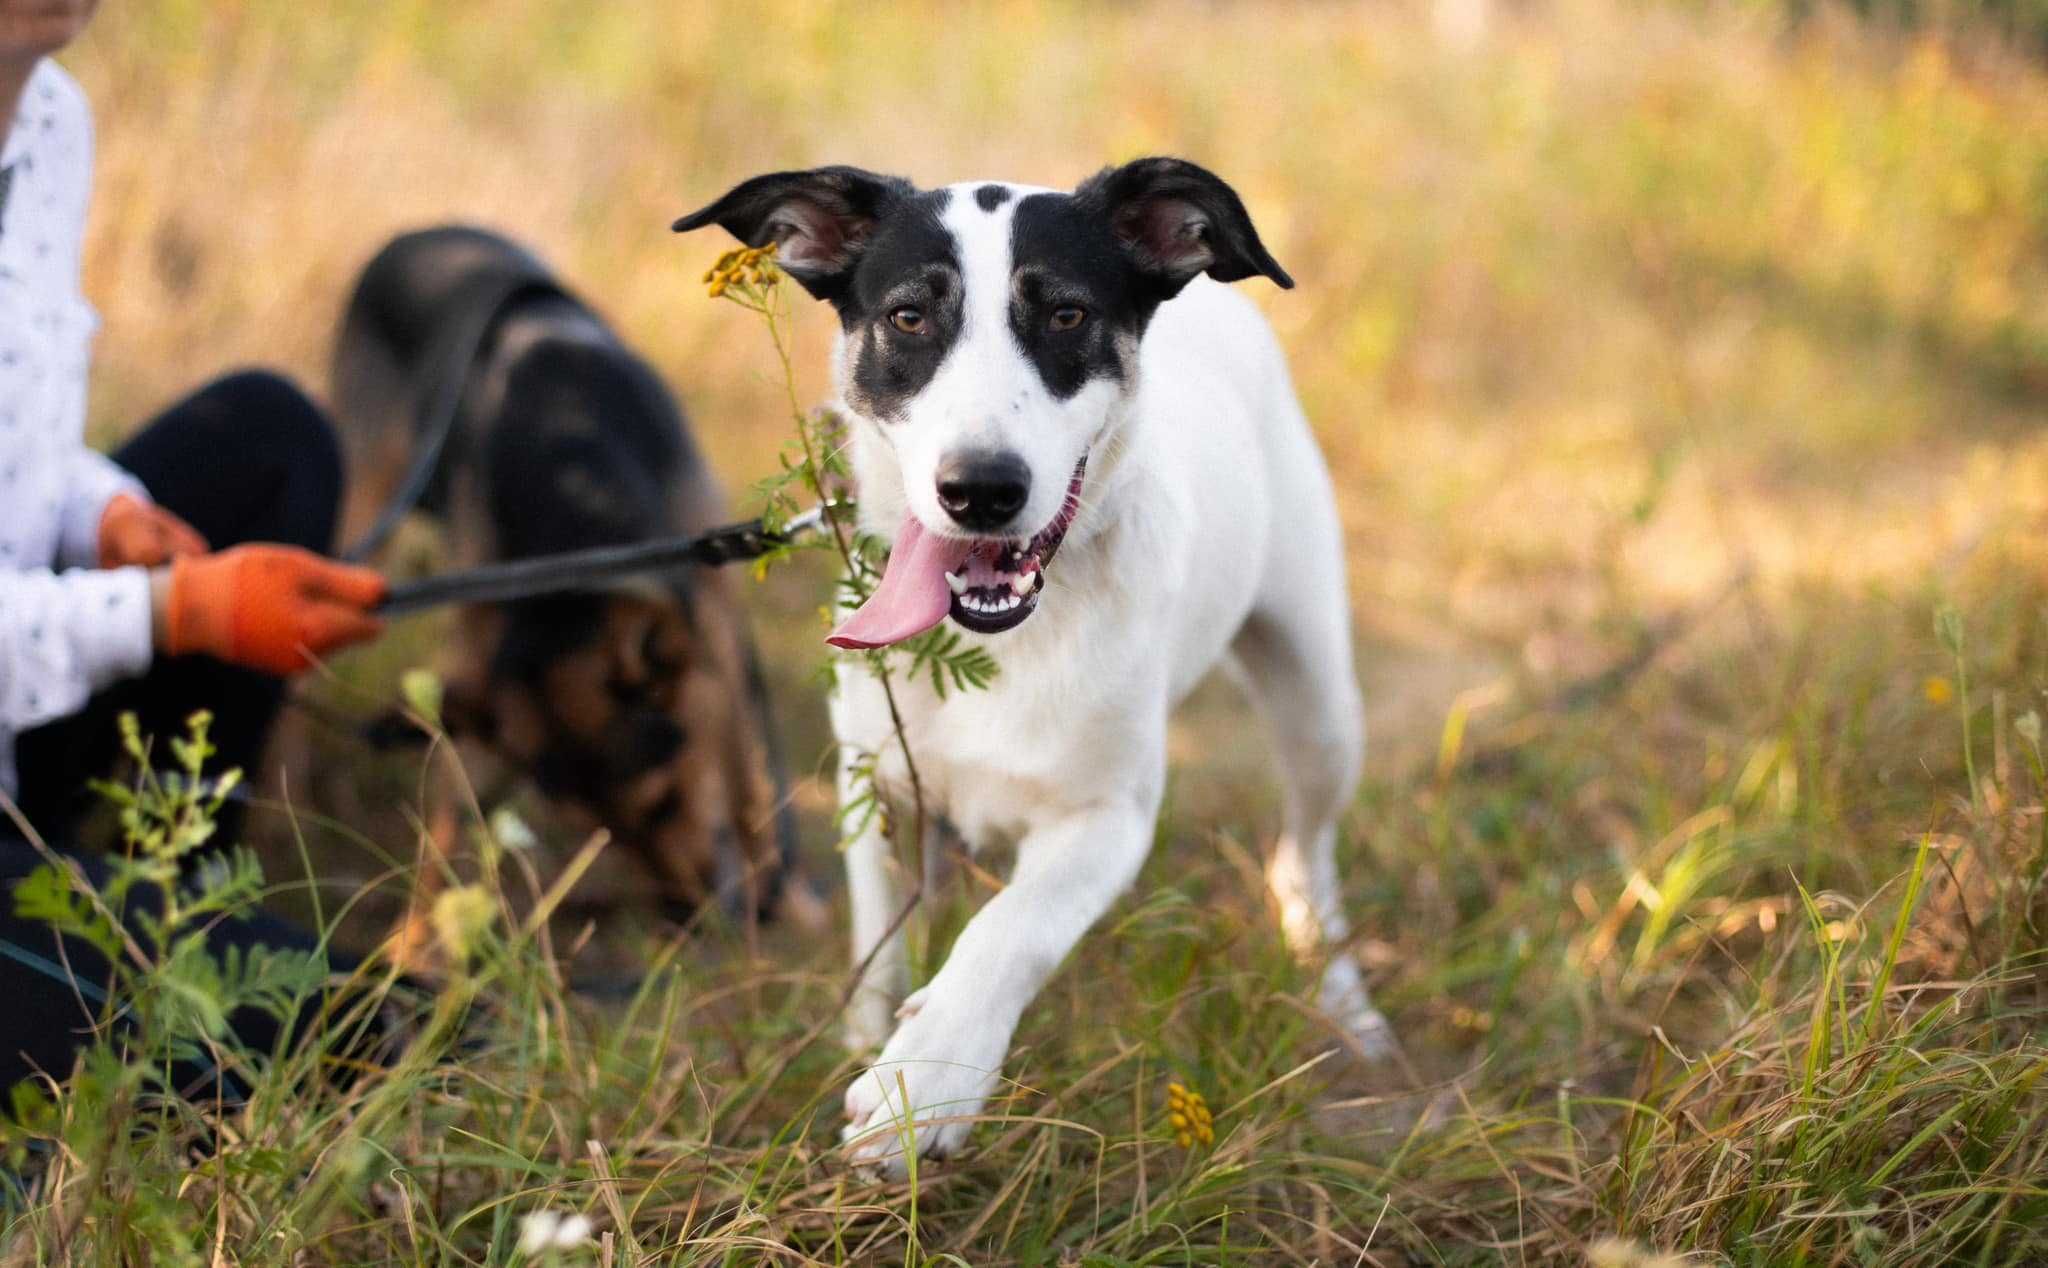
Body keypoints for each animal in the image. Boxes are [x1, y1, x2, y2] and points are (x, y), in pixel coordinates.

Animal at [333, 230, 815, 962]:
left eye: (664, 802)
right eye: (603, 834)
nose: (689, 920)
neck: (567, 470)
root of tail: (415, 235)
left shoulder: (716, 629)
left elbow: (745, 776)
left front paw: (782, 894)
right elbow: (448, 816)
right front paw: (413, 944)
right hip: (369, 507)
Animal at [679, 160, 1384, 1179]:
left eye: (1065, 315)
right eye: (907, 317)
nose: (980, 490)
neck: (996, 643)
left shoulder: (1109, 815)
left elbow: (1011, 929)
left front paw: (925, 1081)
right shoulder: (872, 782)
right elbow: (881, 943)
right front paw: (873, 1043)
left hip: (1318, 692)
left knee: (1307, 855)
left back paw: (1343, 1001)